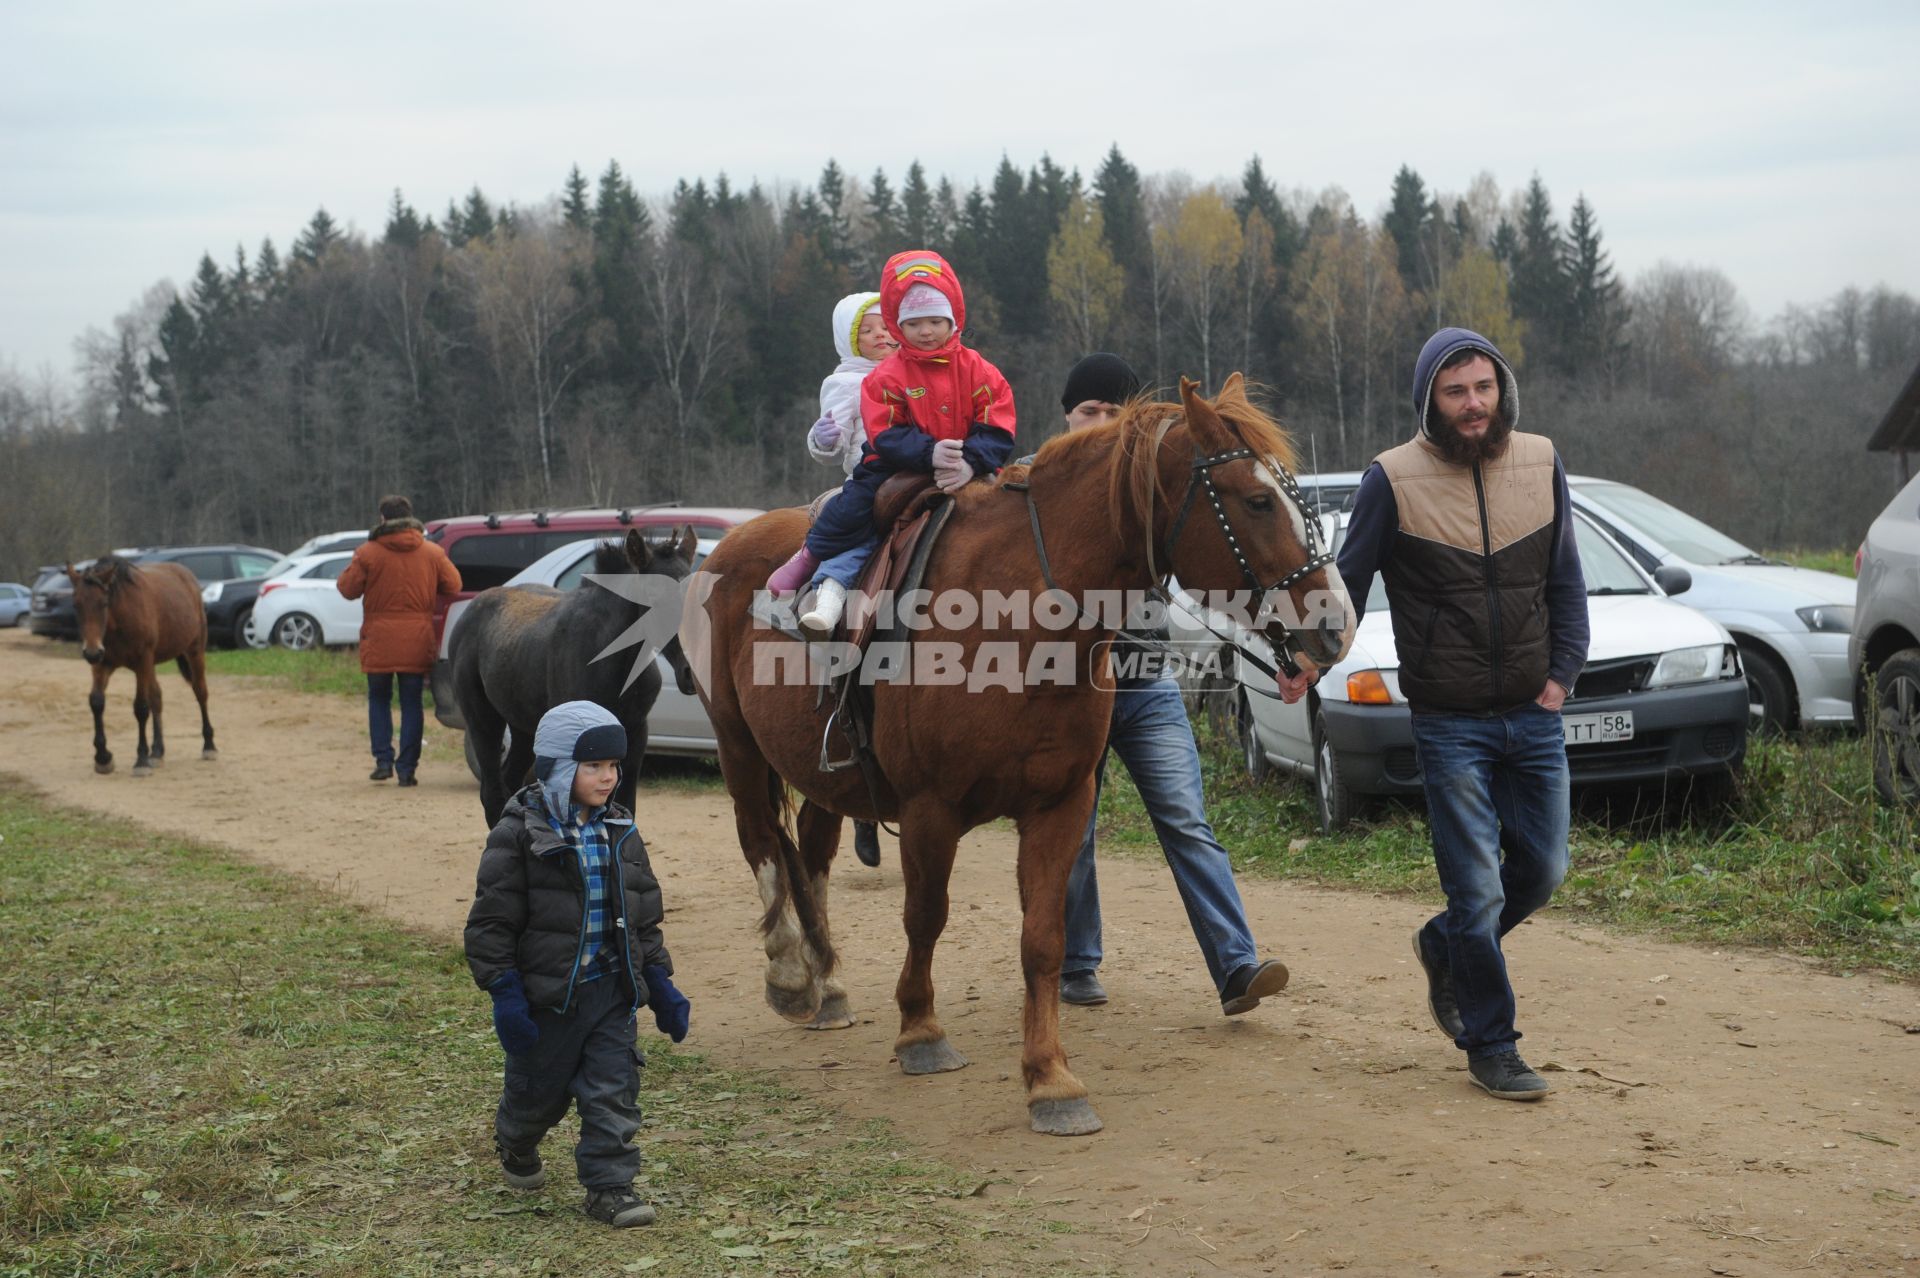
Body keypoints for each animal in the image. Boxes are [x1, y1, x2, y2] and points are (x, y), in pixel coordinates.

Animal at [67, 552, 219, 771]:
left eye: (103, 603)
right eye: (76, 605)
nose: (92, 652)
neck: (120, 620)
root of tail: (188, 576)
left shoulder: (142, 661)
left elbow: (140, 707)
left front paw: (140, 760)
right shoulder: (103, 664)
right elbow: (96, 701)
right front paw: (103, 757)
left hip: (194, 651)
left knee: (200, 693)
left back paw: (209, 745)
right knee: (157, 698)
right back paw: (157, 751)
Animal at [453, 521, 702, 821]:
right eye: (654, 596)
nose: (691, 672)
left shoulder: (635, 732)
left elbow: (624, 807)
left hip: (524, 727)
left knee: (509, 782)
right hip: (482, 719)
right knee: (491, 792)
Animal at [683, 374, 1359, 1128]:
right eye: (1257, 499)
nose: (1338, 624)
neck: (1016, 616)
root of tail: (727, 548)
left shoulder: (1059, 804)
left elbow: (1043, 939)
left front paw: (1050, 1079)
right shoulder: (930, 809)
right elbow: (926, 916)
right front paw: (921, 1032)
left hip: (823, 775)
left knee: (811, 853)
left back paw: (828, 985)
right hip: (738, 748)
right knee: (761, 843)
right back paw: (791, 975)